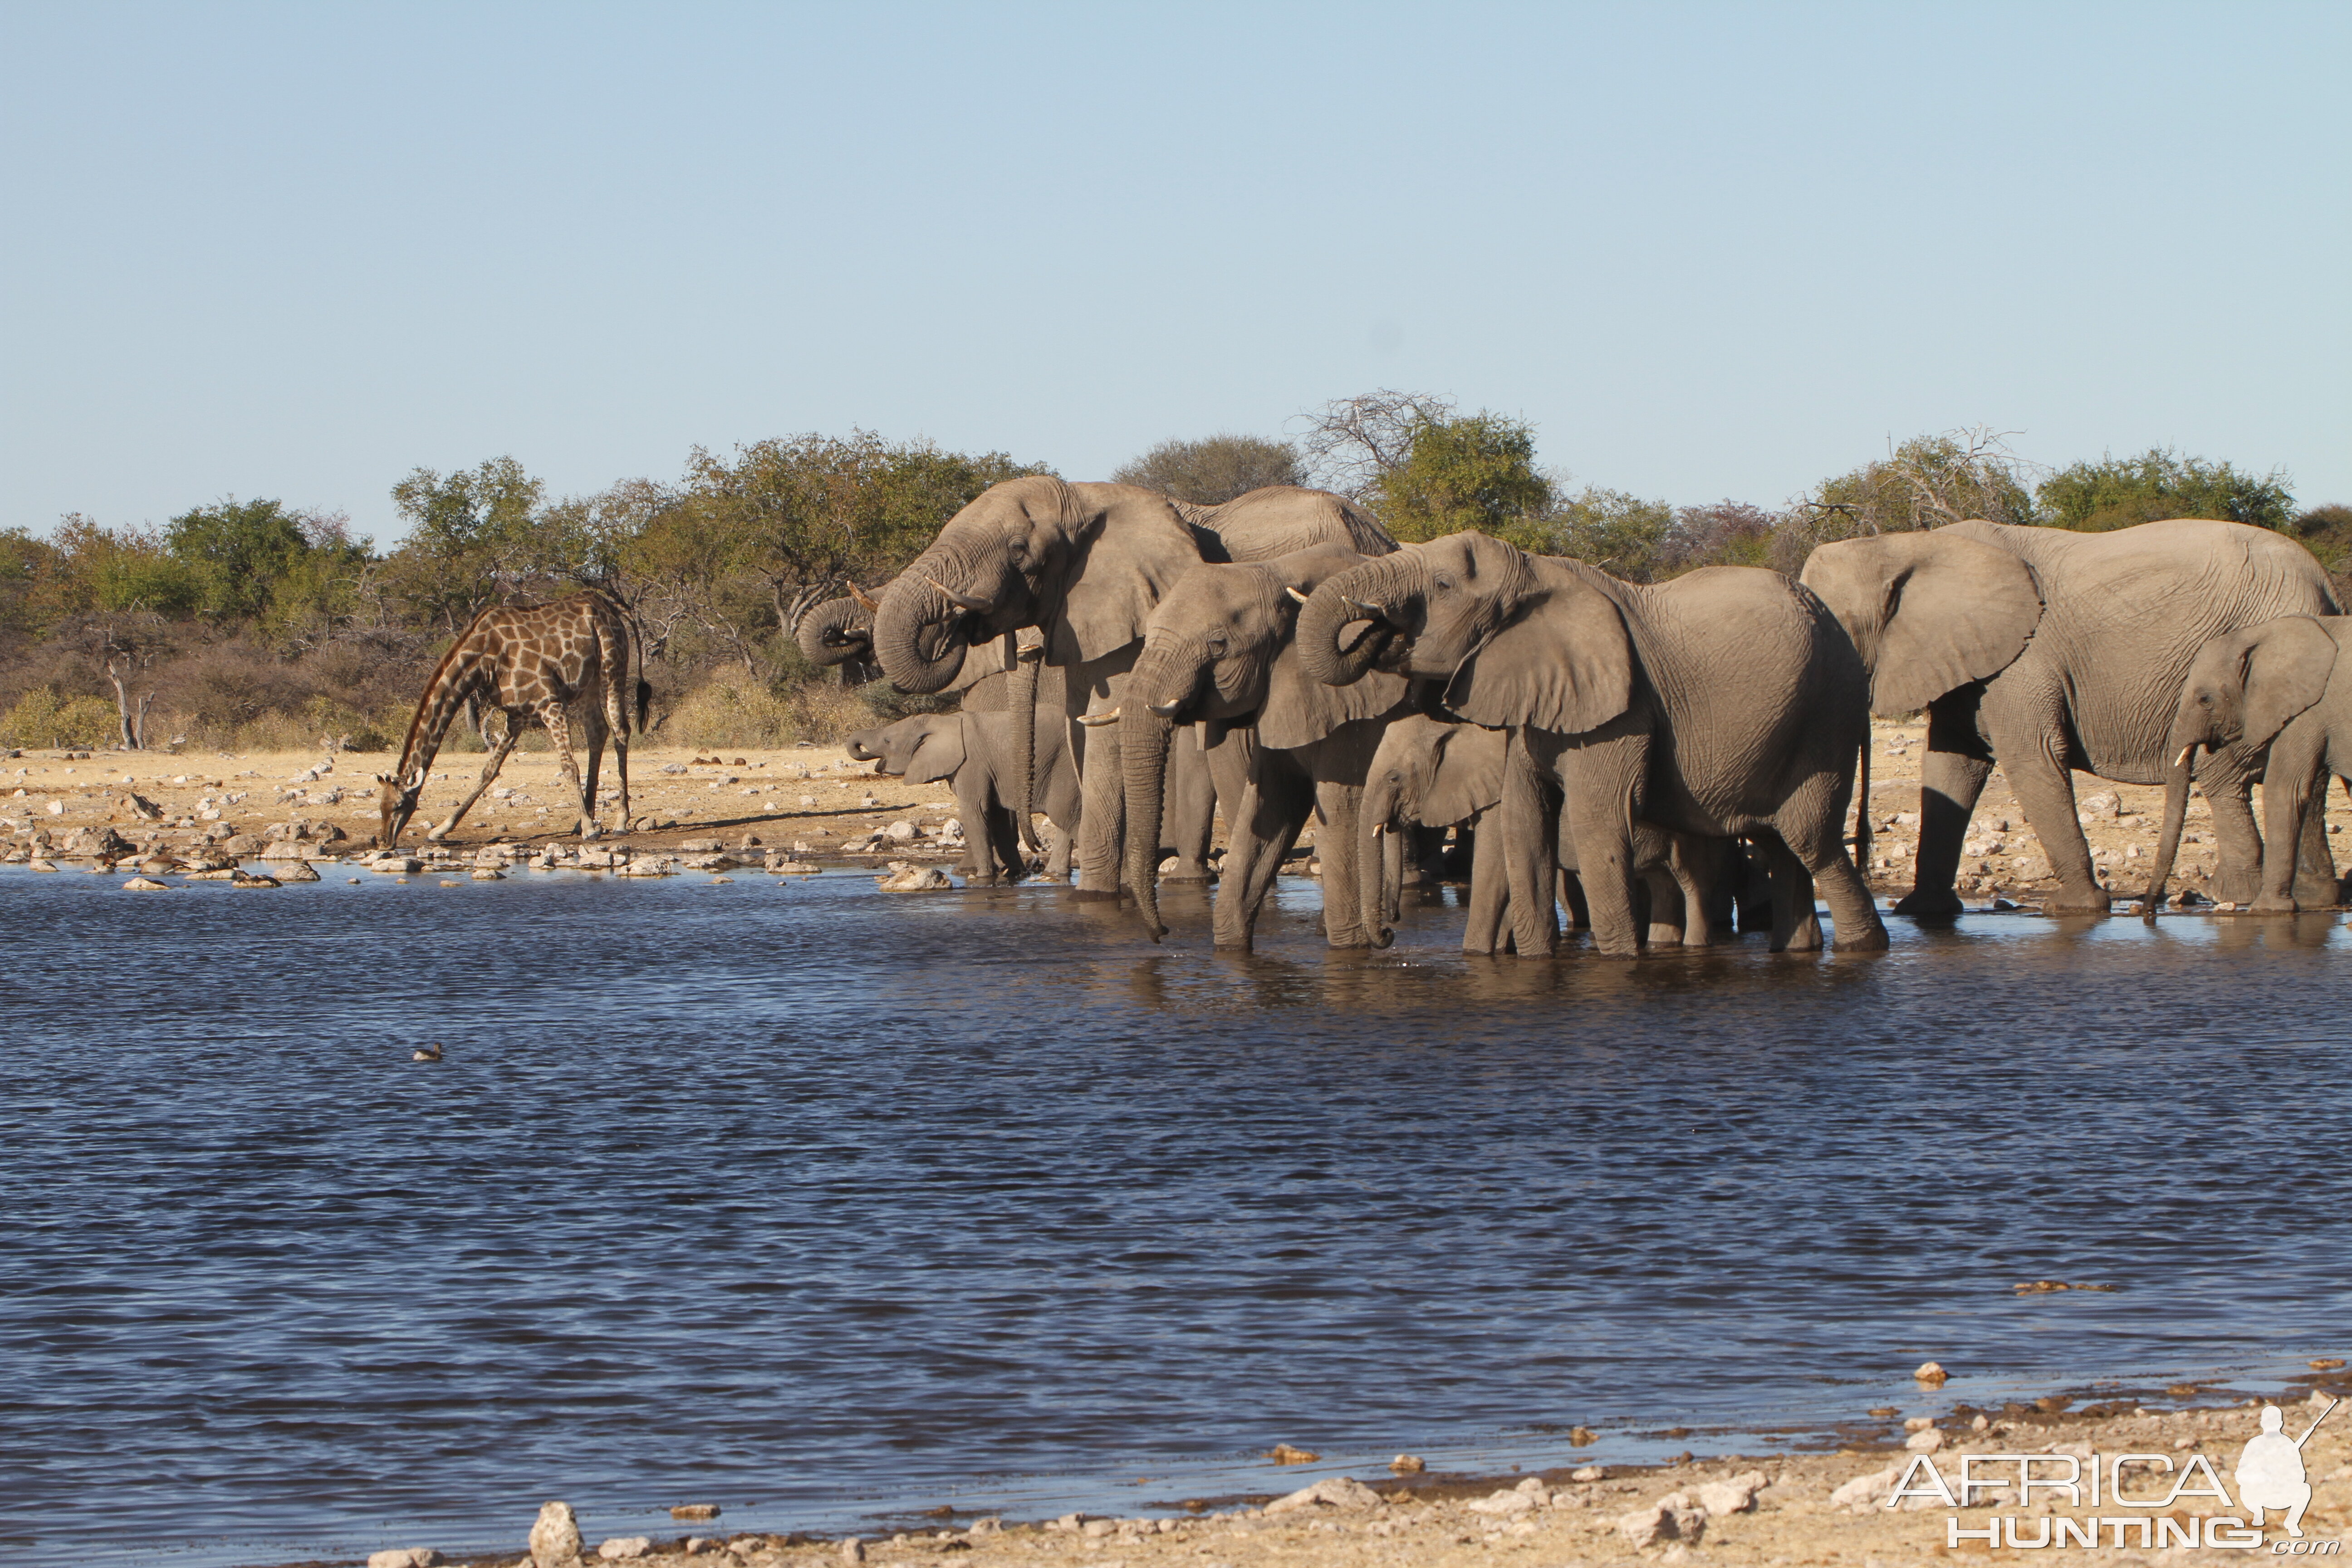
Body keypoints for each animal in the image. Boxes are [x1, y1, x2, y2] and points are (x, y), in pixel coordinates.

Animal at [381, 594, 649, 851]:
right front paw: (440, 830)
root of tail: (612, 609)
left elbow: (569, 766)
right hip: (587, 685)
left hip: (614, 665)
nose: (385, 841)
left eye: (399, 805)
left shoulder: (550, 703)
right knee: (597, 731)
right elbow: (489, 770)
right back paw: (581, 822)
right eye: (381, 805)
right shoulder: (517, 714)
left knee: (620, 731)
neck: (484, 660)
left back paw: (619, 822)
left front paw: (591, 830)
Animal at [879, 475, 1392, 893]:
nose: (955, 617)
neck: (1085, 495)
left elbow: (1107, 728)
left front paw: (1098, 895)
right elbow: (1081, 723)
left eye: (1019, 550)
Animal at [1298, 536, 1882, 959]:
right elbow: (1524, 823)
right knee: (1778, 844)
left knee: (1808, 838)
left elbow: (1595, 820)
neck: (1537, 571)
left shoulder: (1621, 711)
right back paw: (1797, 951)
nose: (1390, 936)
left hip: (1828, 718)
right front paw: (1536, 962)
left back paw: (1863, 948)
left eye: (1442, 585)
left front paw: (1619, 961)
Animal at [1797, 517, 2333, 907]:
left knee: (2224, 775)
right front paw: (1924, 913)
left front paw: (2078, 908)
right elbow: (1952, 767)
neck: (1905, 544)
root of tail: (2323, 579)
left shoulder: (2022, 661)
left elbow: (2032, 757)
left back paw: (2231, 895)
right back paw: (2317, 898)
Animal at [2145, 606, 2352, 912]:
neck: (2261, 634)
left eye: (2205, 699)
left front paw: (2266, 911)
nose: (2148, 911)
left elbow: (2285, 792)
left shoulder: (2306, 713)